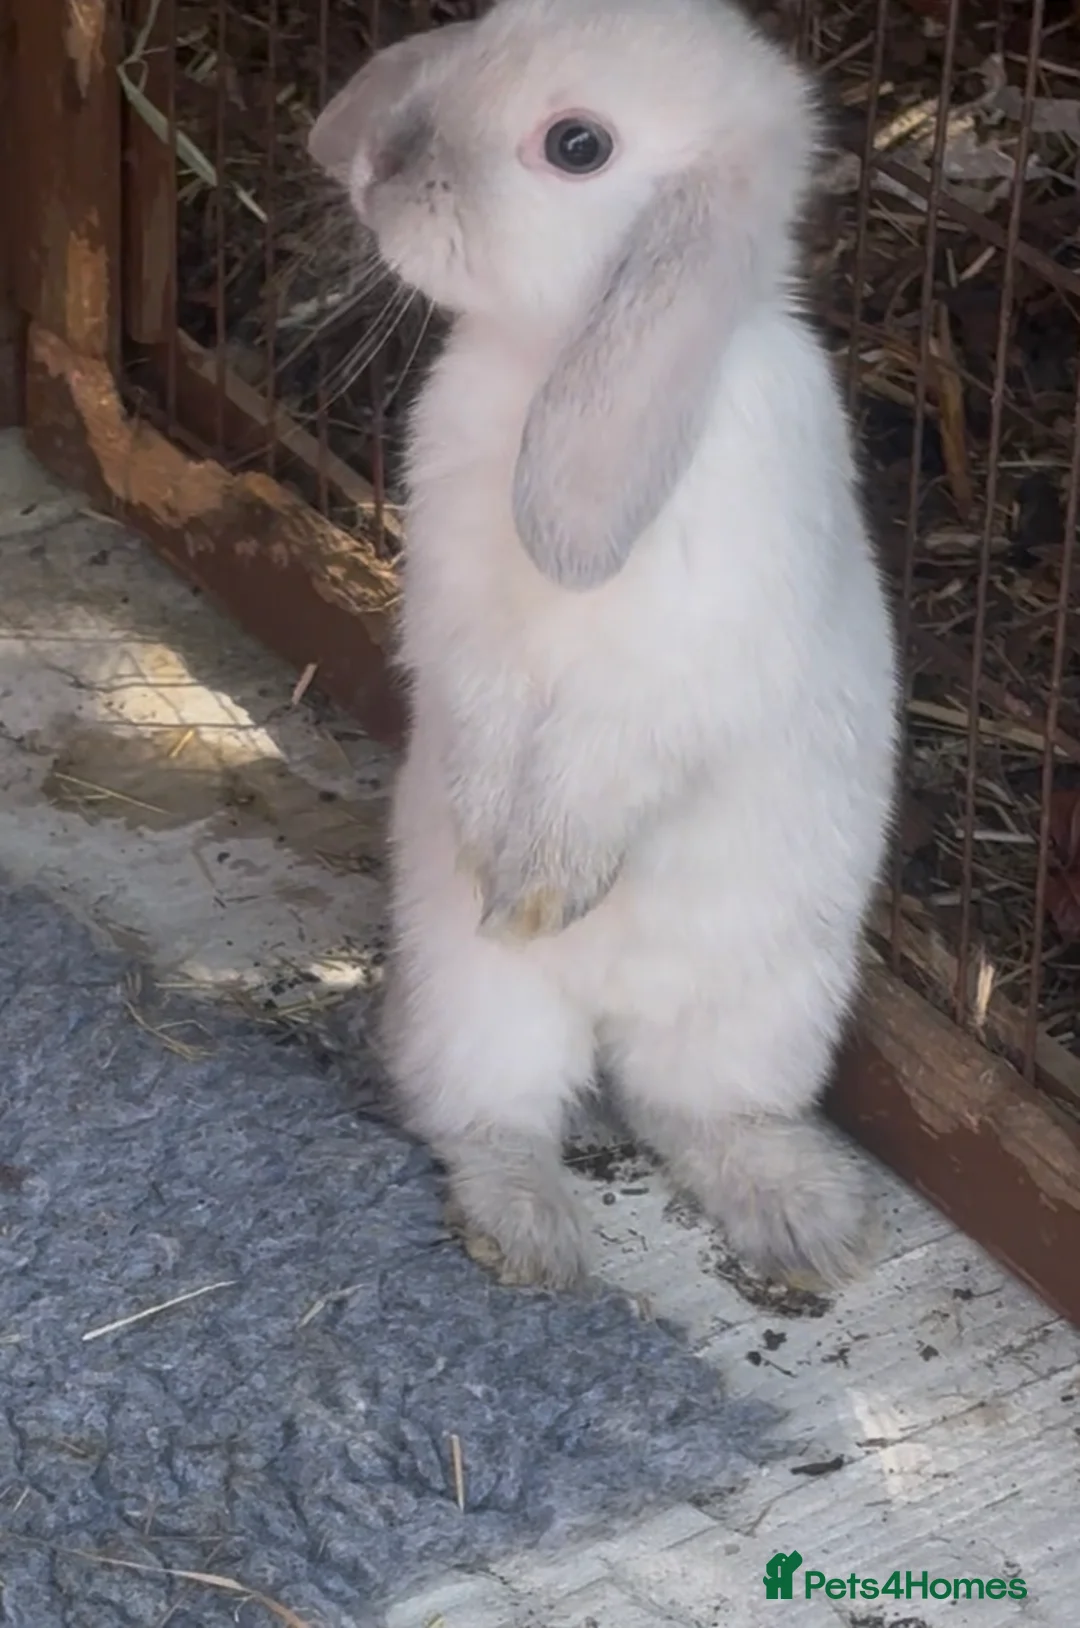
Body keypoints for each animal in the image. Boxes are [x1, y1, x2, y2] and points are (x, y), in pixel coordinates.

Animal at [309, 0, 900, 1293]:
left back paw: (807, 1224)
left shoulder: (679, 669)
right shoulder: (458, 622)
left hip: (771, 1001)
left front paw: (542, 889)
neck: (551, 366)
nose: (380, 167)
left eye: (577, 146)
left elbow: (609, 756)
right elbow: (483, 718)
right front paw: (503, 879)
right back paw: (529, 1233)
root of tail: (610, 1008)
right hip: (480, 1007)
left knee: (699, 1112)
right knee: (494, 1114)